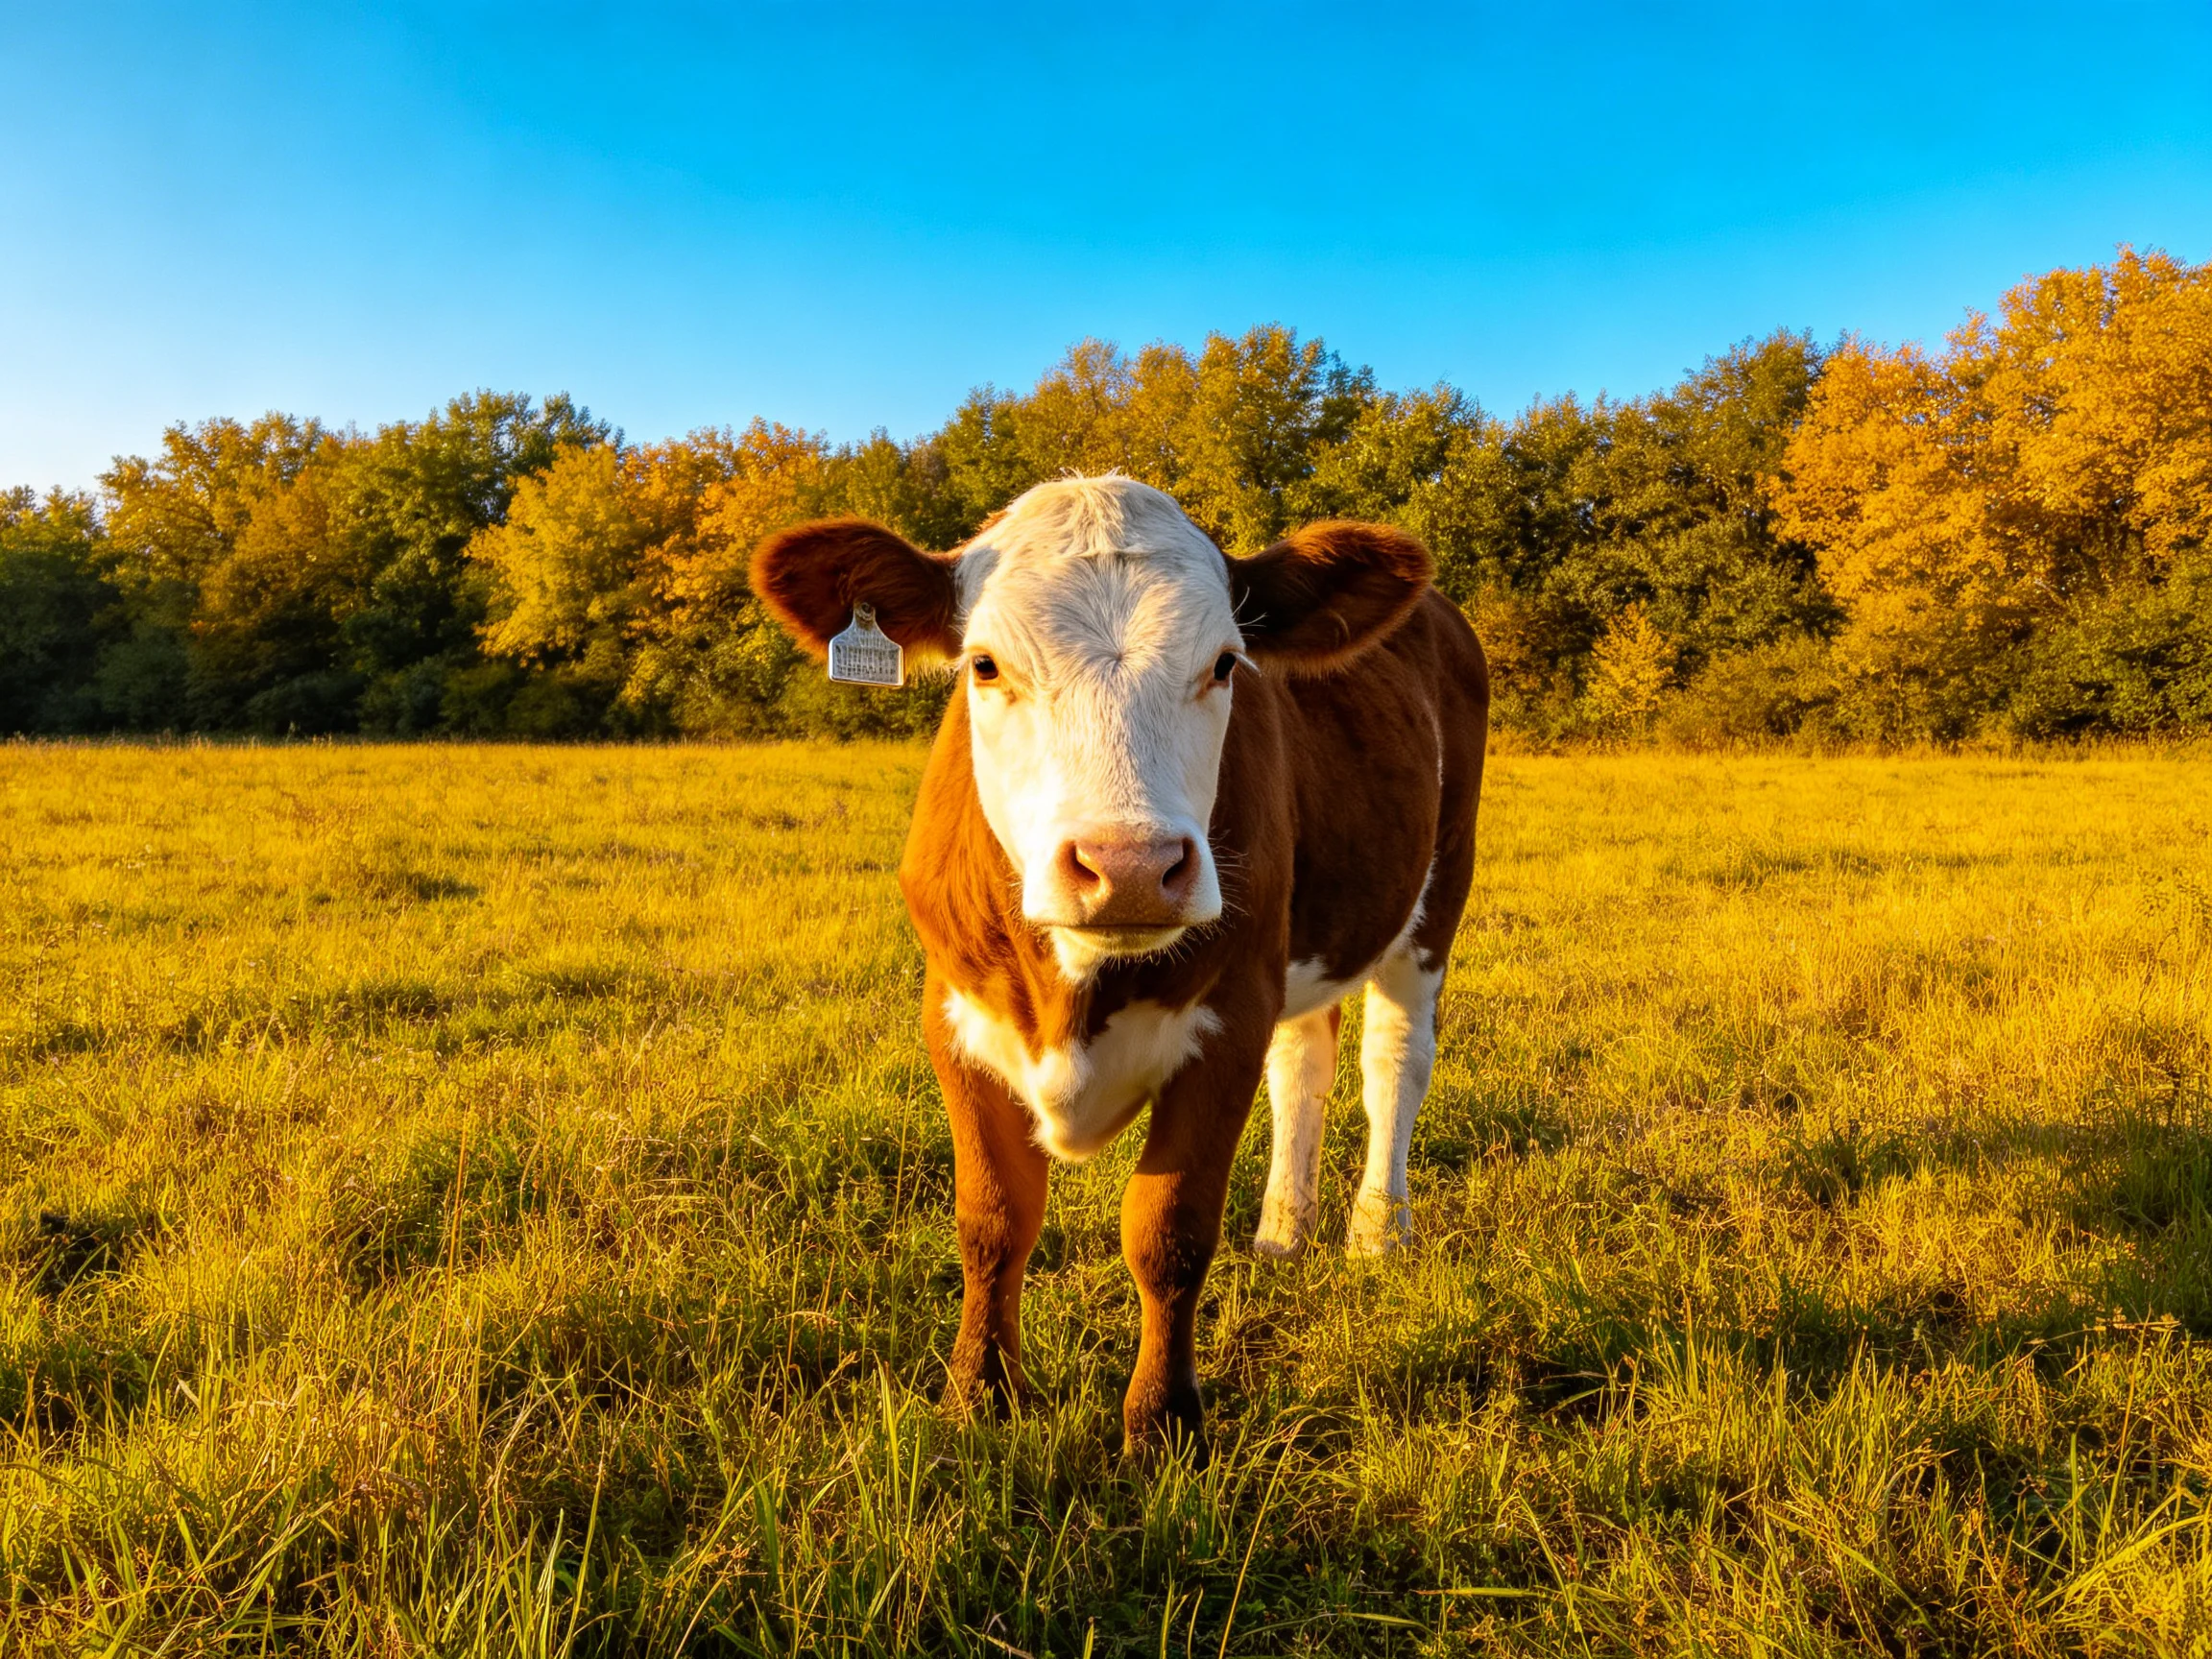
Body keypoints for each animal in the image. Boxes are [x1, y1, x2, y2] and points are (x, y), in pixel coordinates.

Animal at [750, 477, 1488, 1453]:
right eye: (984, 665)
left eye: (1225, 665)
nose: (1131, 865)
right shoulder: (953, 1014)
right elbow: (992, 1221)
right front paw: (978, 1394)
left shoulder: (1230, 1013)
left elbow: (1168, 1231)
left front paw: (1161, 1424)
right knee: (1304, 1066)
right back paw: (1283, 1233)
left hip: (1437, 890)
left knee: (1392, 1063)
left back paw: (1376, 1233)